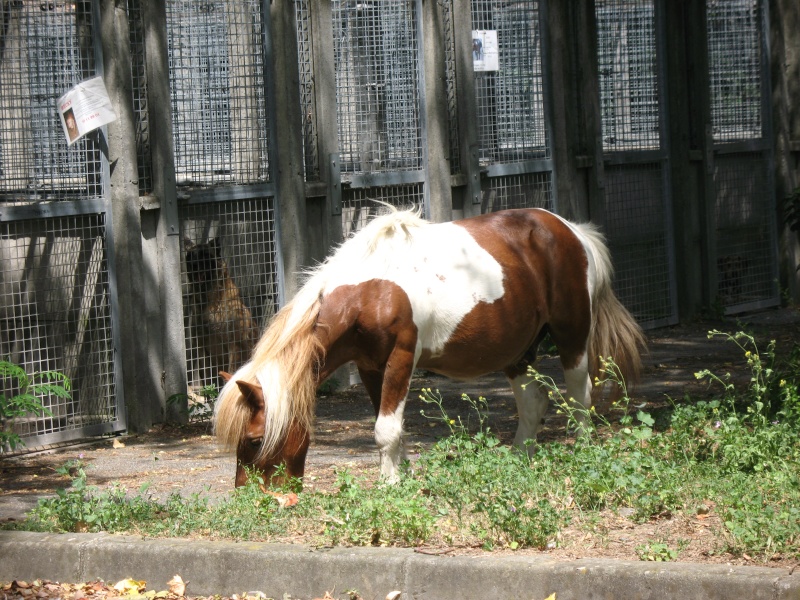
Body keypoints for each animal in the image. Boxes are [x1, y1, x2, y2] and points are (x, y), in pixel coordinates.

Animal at [211, 206, 644, 488]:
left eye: (254, 440)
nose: (252, 498)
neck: (371, 290)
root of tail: (572, 230)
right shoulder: (370, 366)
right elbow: (389, 426)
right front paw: (401, 477)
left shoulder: (401, 359)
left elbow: (385, 429)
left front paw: (388, 487)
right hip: (517, 350)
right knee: (534, 402)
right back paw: (519, 460)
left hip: (572, 335)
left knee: (579, 397)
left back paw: (583, 453)